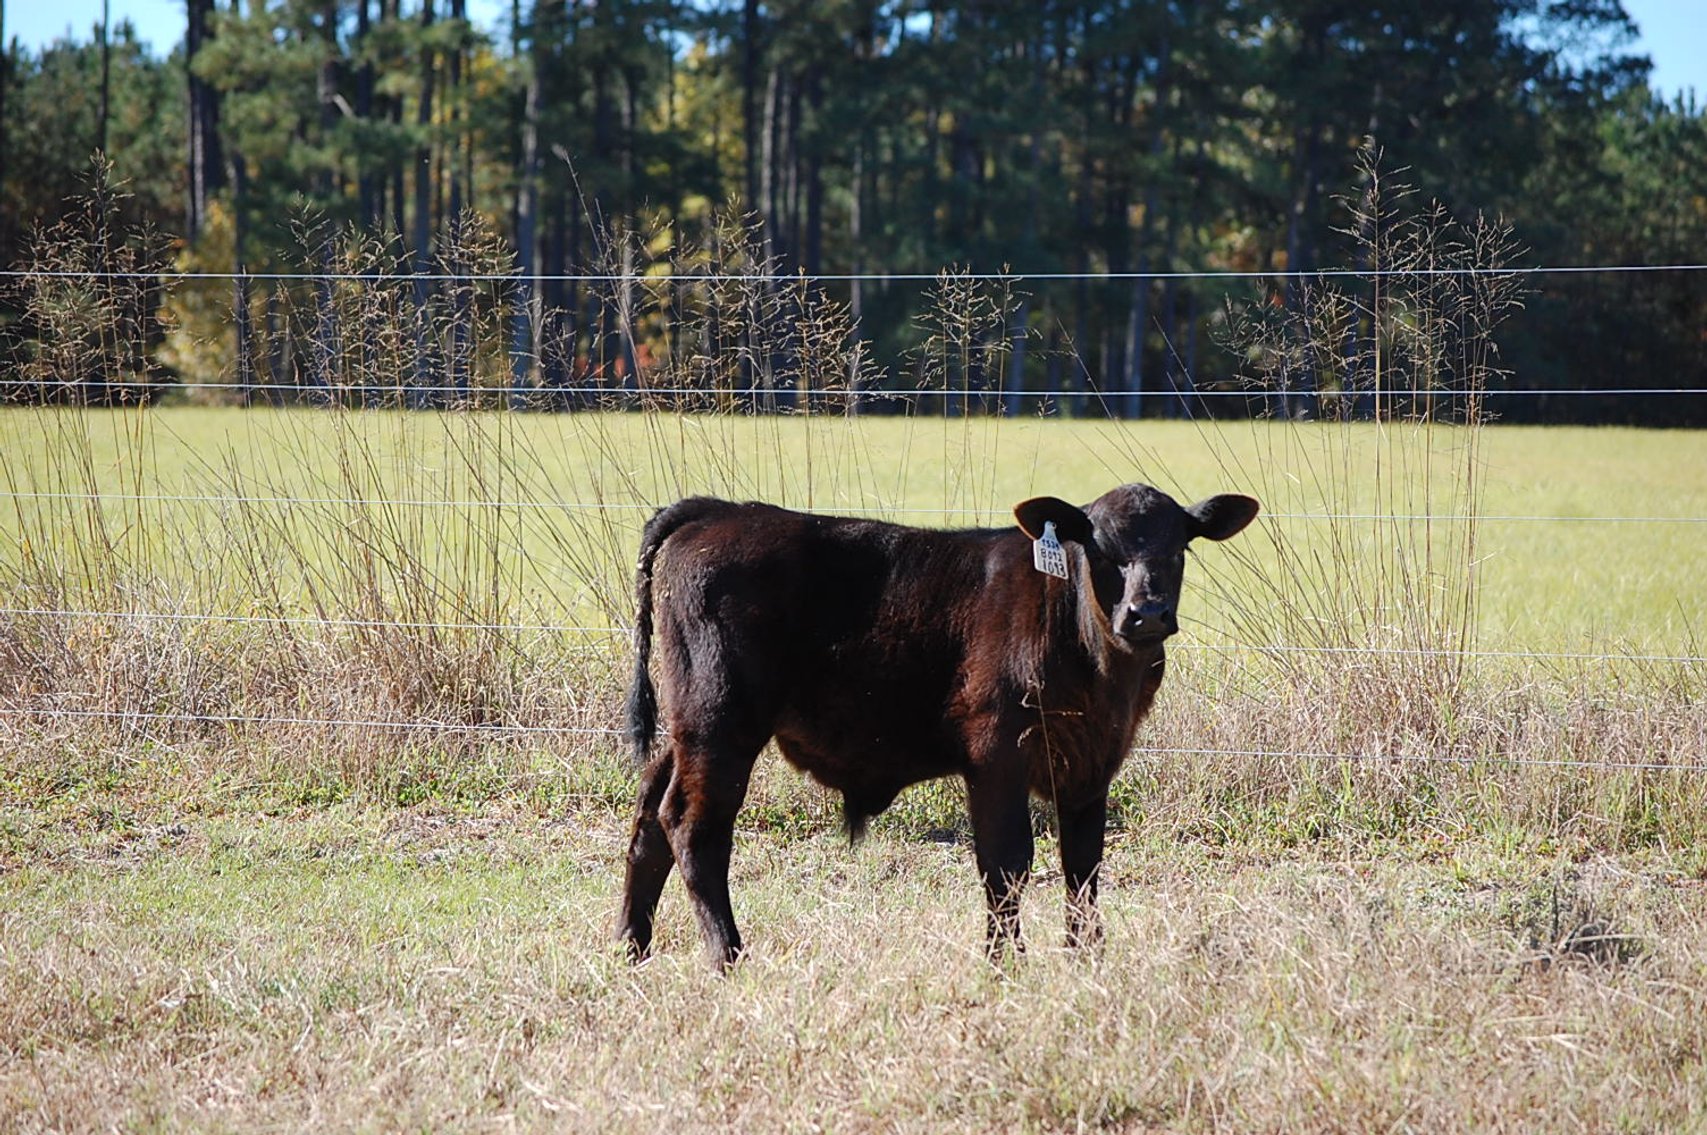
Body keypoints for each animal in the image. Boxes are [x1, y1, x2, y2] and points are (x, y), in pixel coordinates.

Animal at [618, 484, 1260, 968]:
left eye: (1179, 546)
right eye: (1099, 548)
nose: (1145, 613)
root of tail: (721, 511)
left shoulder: (1091, 767)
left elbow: (1083, 867)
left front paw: (1086, 961)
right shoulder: (997, 757)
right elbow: (1006, 867)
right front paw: (1006, 966)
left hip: (687, 729)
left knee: (650, 817)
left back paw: (632, 948)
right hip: (720, 721)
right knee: (694, 826)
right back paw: (727, 957)